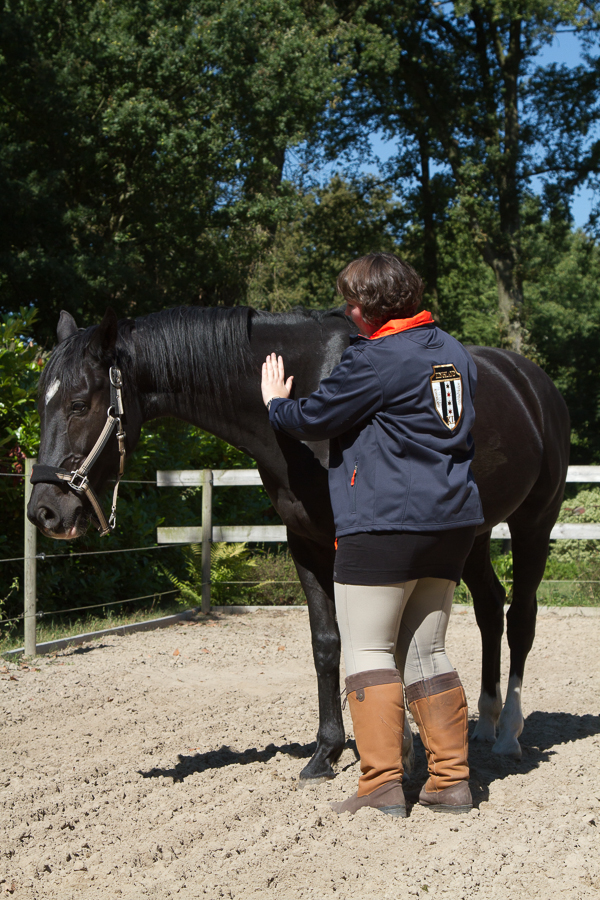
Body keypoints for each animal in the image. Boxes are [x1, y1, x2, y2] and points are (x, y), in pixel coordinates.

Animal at [28, 306, 568, 784]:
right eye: (40, 403)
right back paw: (485, 724)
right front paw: (326, 754)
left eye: (79, 403)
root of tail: (532, 382)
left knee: (521, 617)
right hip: (469, 535)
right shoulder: (306, 542)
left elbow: (386, 641)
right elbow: (327, 644)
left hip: (534, 523)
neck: (309, 391)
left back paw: (509, 734)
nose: (44, 512)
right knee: (490, 607)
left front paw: (399, 752)